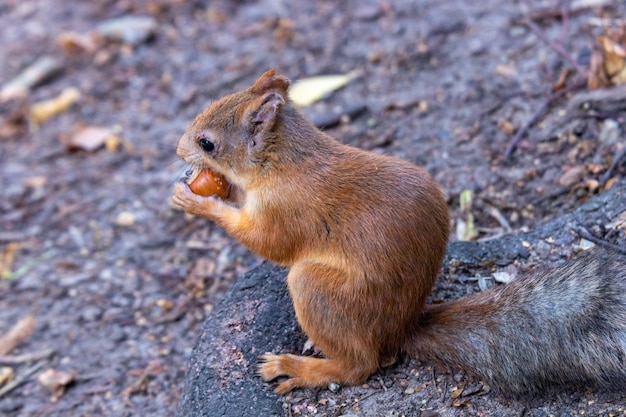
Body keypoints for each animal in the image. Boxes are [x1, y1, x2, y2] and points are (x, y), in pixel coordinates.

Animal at [171, 70, 624, 394]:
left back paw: (299, 369)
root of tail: (401, 328)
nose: (178, 150)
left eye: (207, 143)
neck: (280, 160)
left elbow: (269, 243)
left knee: (359, 366)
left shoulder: (286, 209)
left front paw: (198, 202)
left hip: (319, 289)